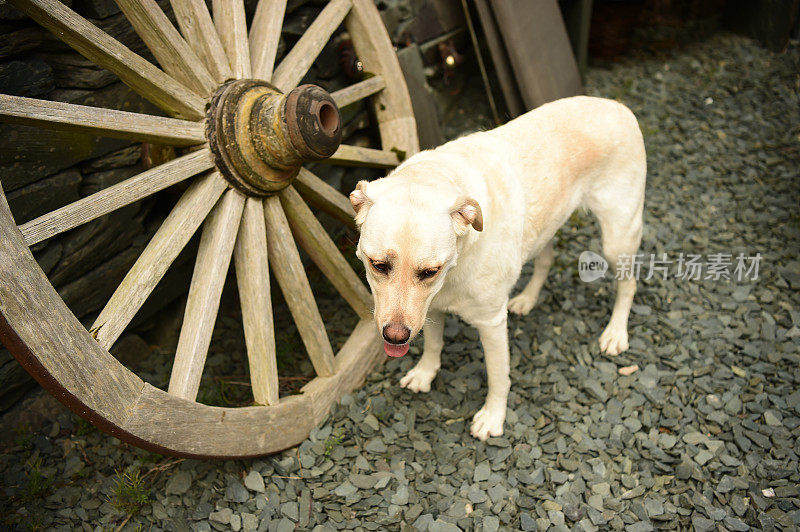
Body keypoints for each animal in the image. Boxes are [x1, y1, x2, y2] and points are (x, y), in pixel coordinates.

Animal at [348, 96, 644, 440]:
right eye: (379, 265)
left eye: (429, 271)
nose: (395, 337)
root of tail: (616, 105)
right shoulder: (430, 308)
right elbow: (434, 344)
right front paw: (424, 373)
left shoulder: (490, 322)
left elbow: (498, 375)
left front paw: (493, 416)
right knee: (547, 257)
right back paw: (527, 299)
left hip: (617, 238)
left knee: (628, 284)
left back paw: (616, 332)